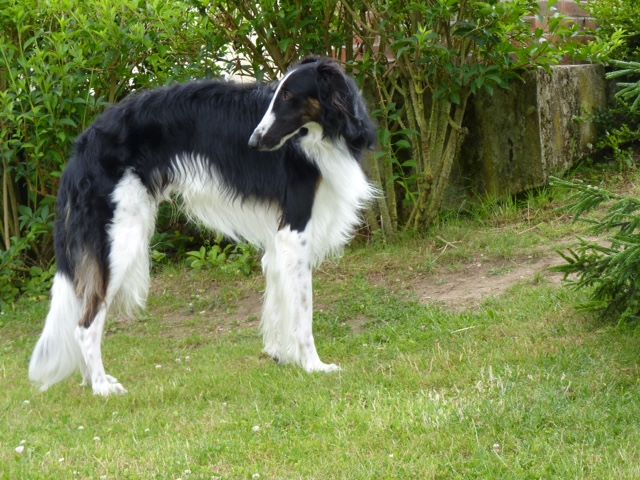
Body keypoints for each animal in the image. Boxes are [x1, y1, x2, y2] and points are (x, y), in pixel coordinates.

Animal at [28, 56, 376, 396]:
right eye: (279, 94)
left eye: (289, 95)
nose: (253, 141)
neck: (323, 134)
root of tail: (84, 144)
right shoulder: (295, 231)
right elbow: (303, 314)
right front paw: (314, 366)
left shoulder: (280, 242)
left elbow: (280, 304)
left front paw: (282, 356)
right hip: (118, 243)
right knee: (85, 324)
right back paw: (101, 387)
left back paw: (93, 381)